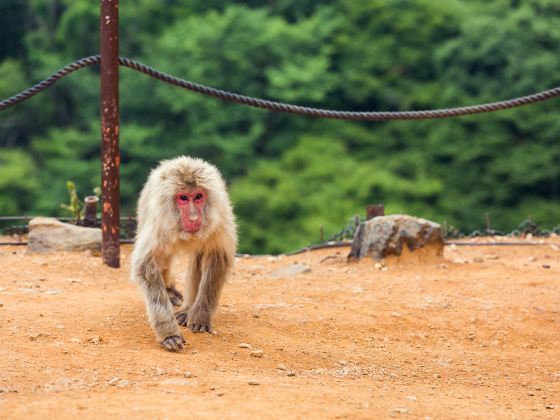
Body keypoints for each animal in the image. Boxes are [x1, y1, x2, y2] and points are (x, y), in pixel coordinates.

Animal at [131, 155, 236, 352]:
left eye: (198, 196)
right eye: (184, 198)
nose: (194, 218)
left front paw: (200, 315)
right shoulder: (159, 223)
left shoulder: (218, 219)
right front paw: (168, 333)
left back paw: (188, 310)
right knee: (162, 259)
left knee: (199, 256)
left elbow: (216, 256)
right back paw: (169, 291)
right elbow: (147, 266)